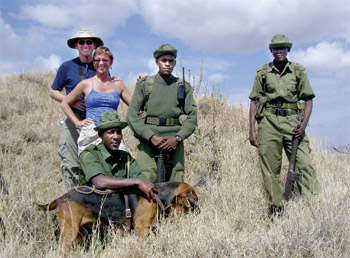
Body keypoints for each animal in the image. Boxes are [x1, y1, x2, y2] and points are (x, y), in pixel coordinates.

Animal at [37, 180, 200, 249]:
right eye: (194, 199)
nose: (199, 210)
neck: (159, 196)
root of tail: (60, 198)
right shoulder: (142, 230)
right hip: (69, 232)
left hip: (79, 233)